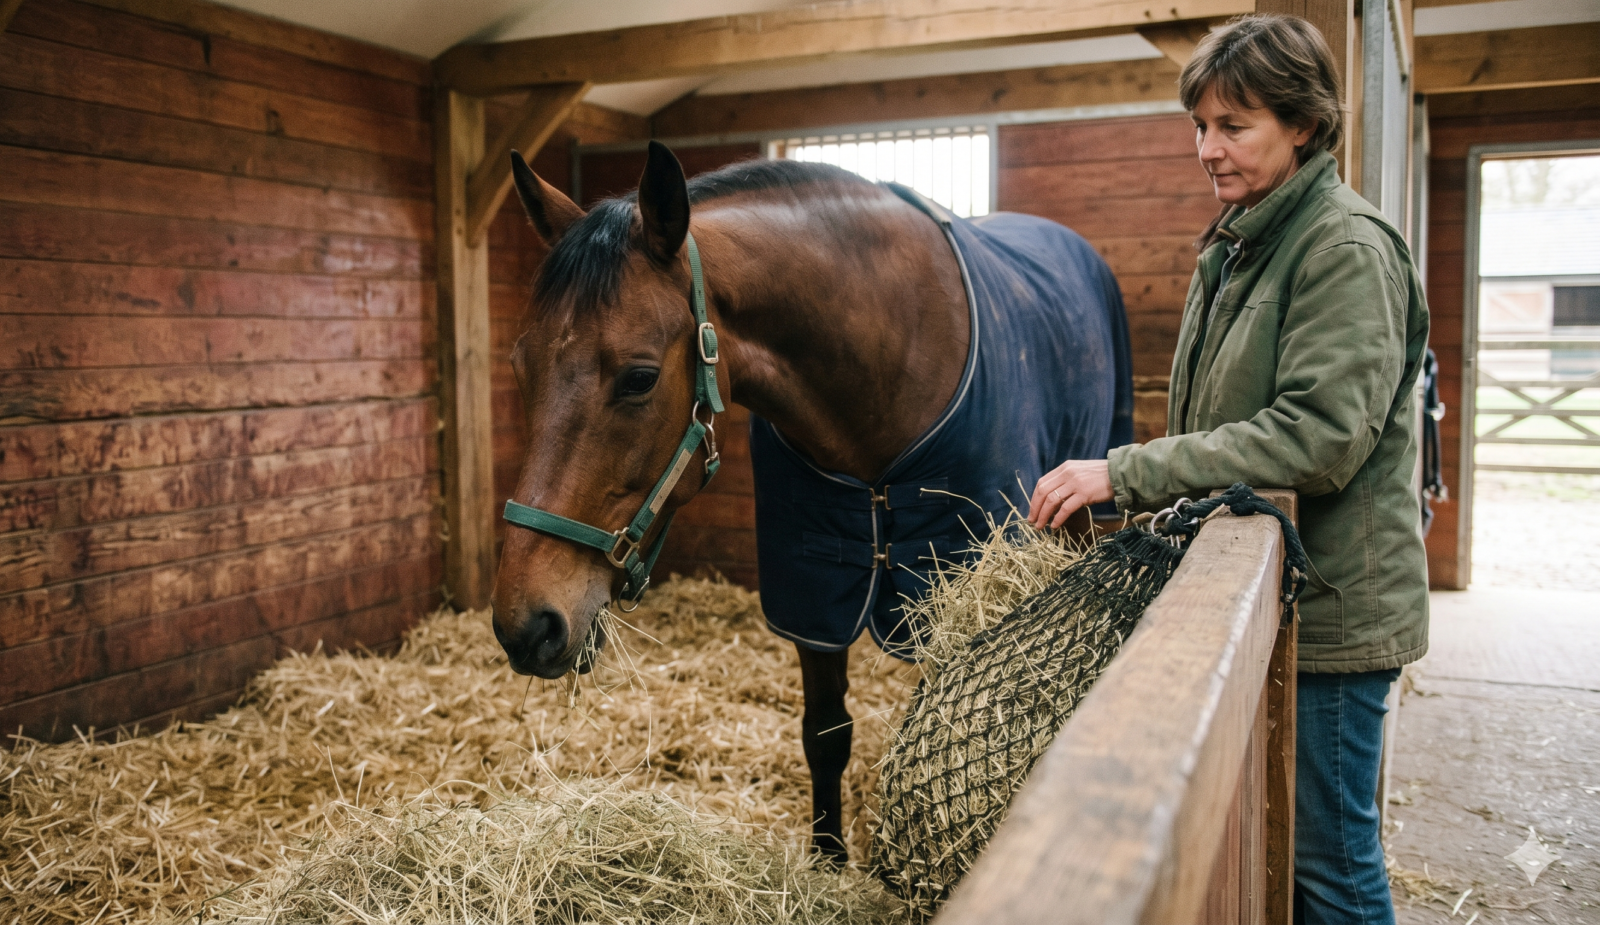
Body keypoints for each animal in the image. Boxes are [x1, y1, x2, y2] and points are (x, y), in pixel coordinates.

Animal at [492, 140, 1132, 862]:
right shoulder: (816, 591)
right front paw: (829, 857)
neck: (888, 353)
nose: (525, 625)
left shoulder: (947, 588)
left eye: (639, 378)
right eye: (520, 365)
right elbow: (826, 734)